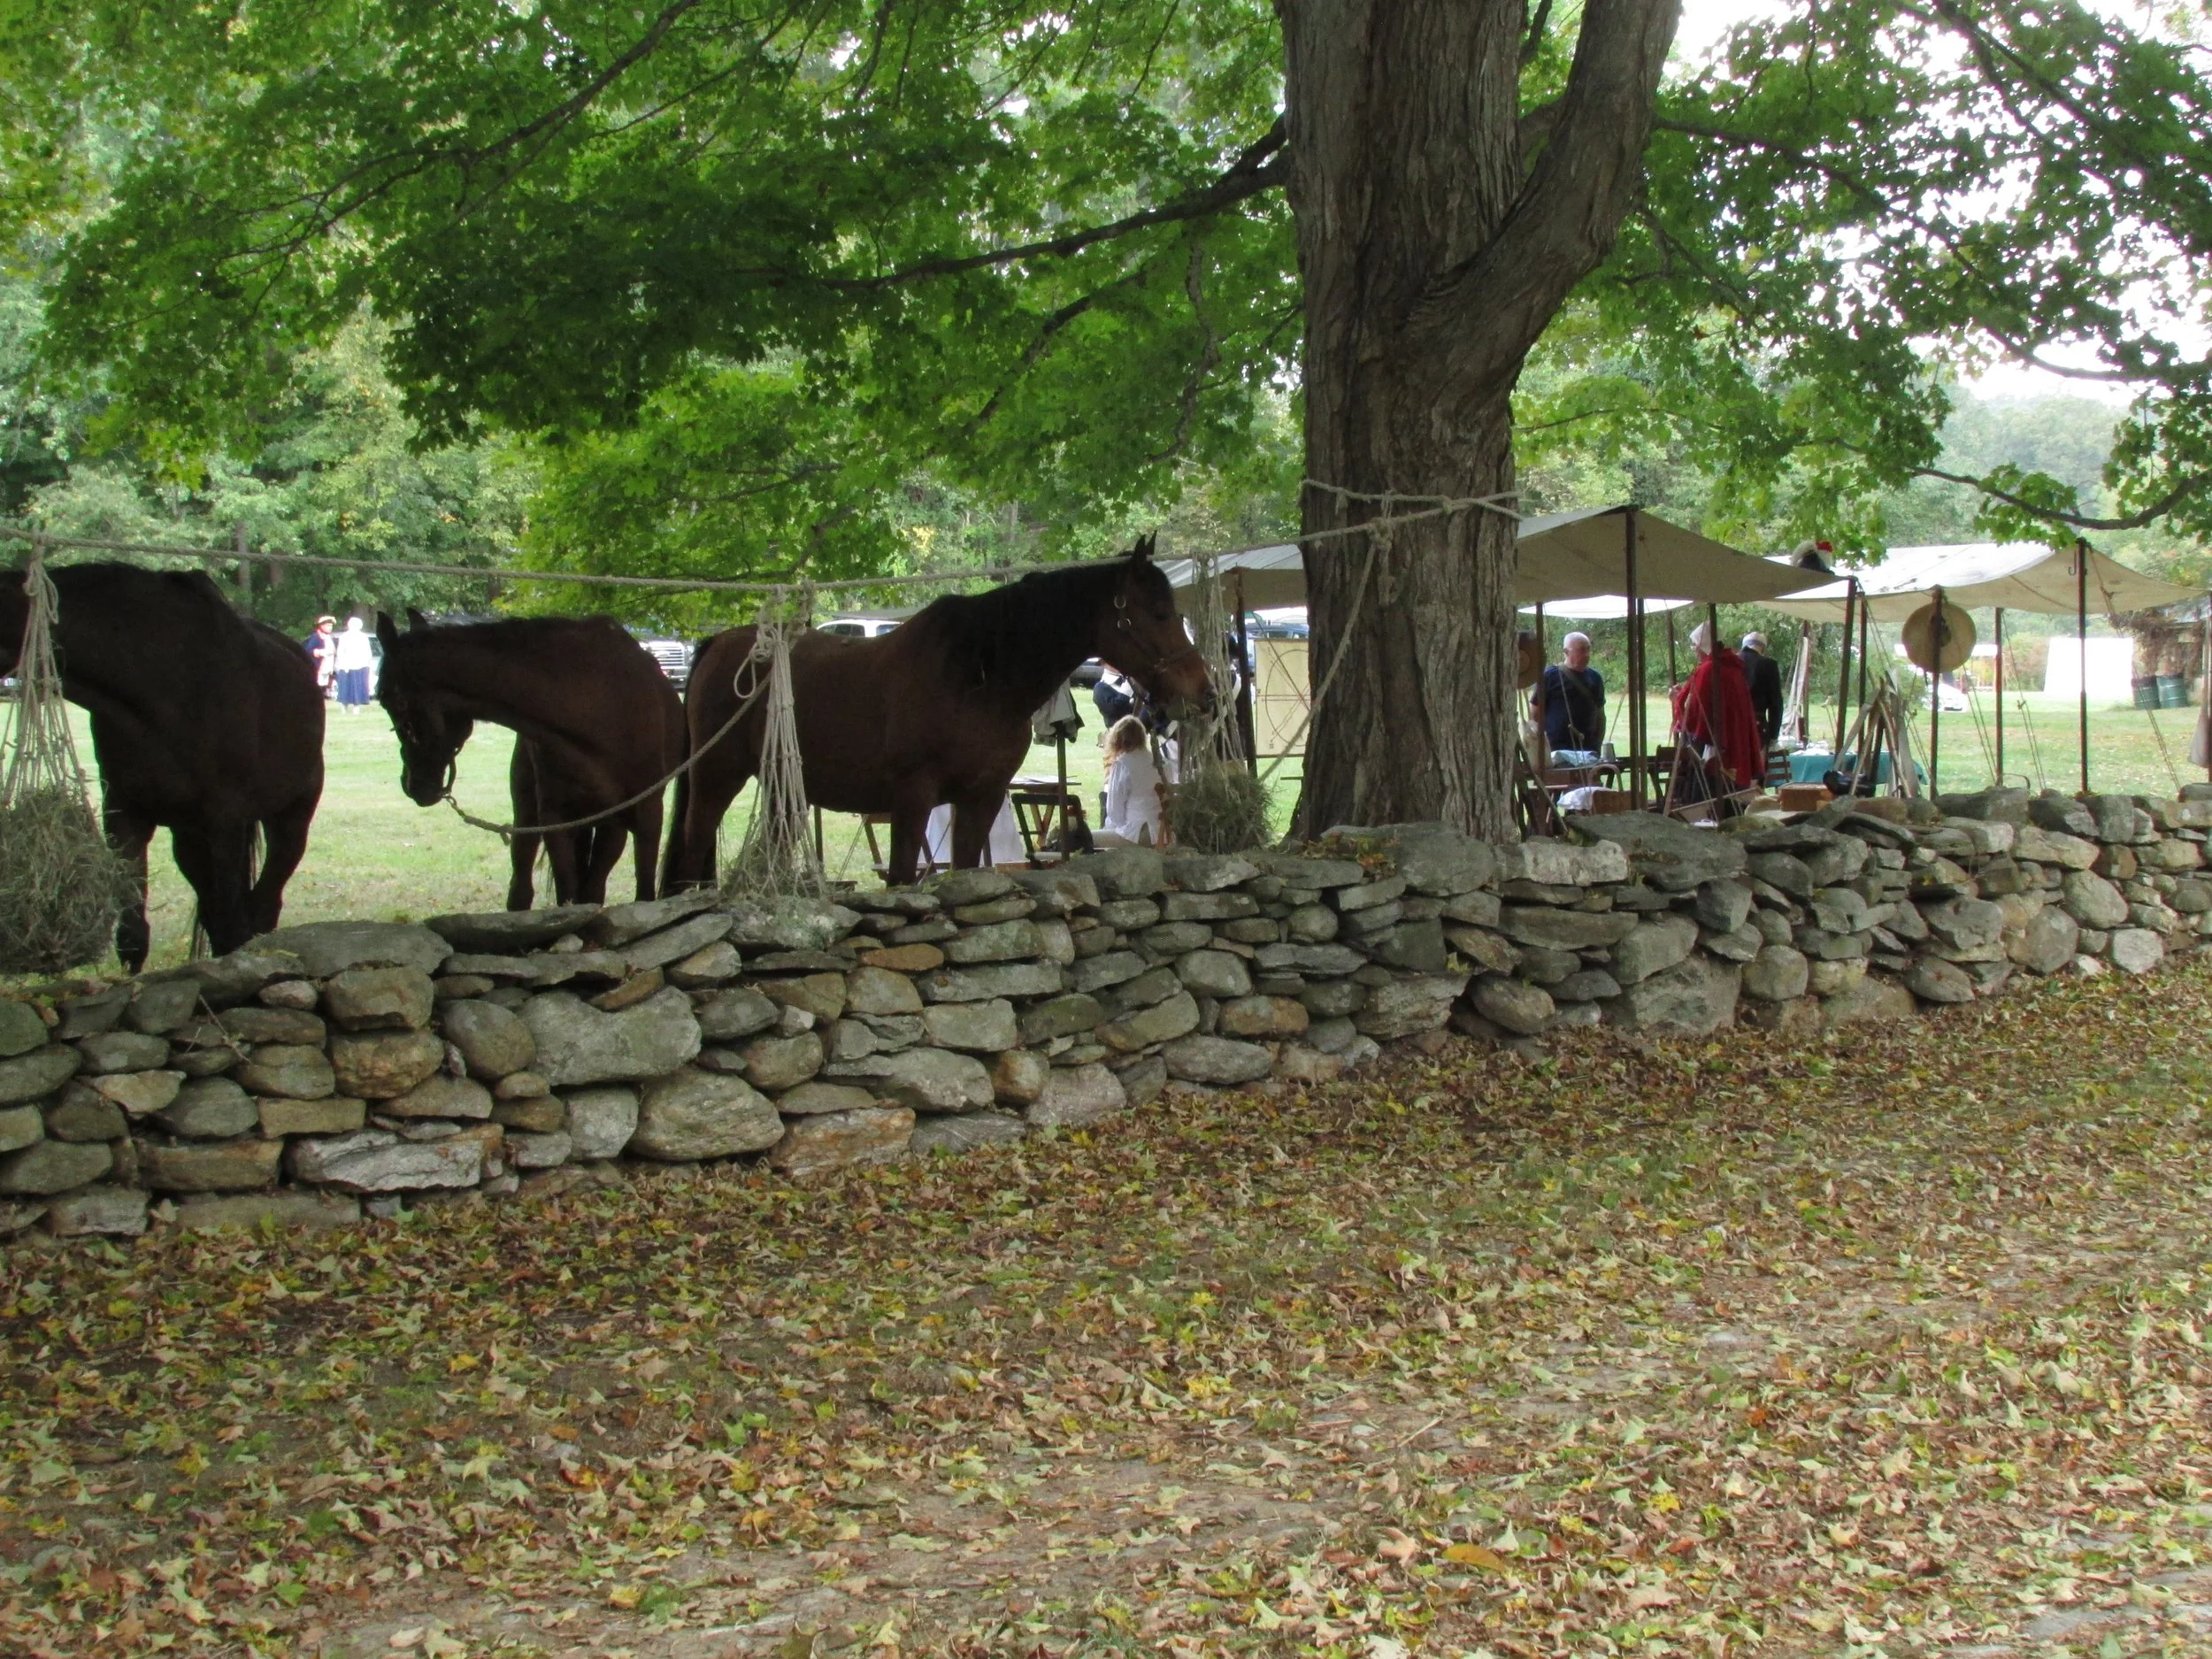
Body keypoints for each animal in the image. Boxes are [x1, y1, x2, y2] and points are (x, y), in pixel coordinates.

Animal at [0, 561, 325, 970]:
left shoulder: (225, 820)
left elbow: (234, 927)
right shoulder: (125, 816)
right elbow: (133, 937)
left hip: (290, 821)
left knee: (262, 907)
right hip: (189, 838)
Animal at [372, 611, 687, 907]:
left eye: (389, 699)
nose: (413, 784)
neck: (597, 704)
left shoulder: (644, 815)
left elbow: (639, 893)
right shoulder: (556, 819)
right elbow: (569, 897)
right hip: (529, 817)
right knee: (523, 888)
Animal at [664, 535, 1213, 889]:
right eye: (1159, 612)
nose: (1204, 693)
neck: (979, 676)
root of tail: (717, 646)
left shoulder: (981, 798)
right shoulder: (912, 798)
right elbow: (903, 878)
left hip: (781, 789)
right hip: (715, 779)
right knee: (692, 852)